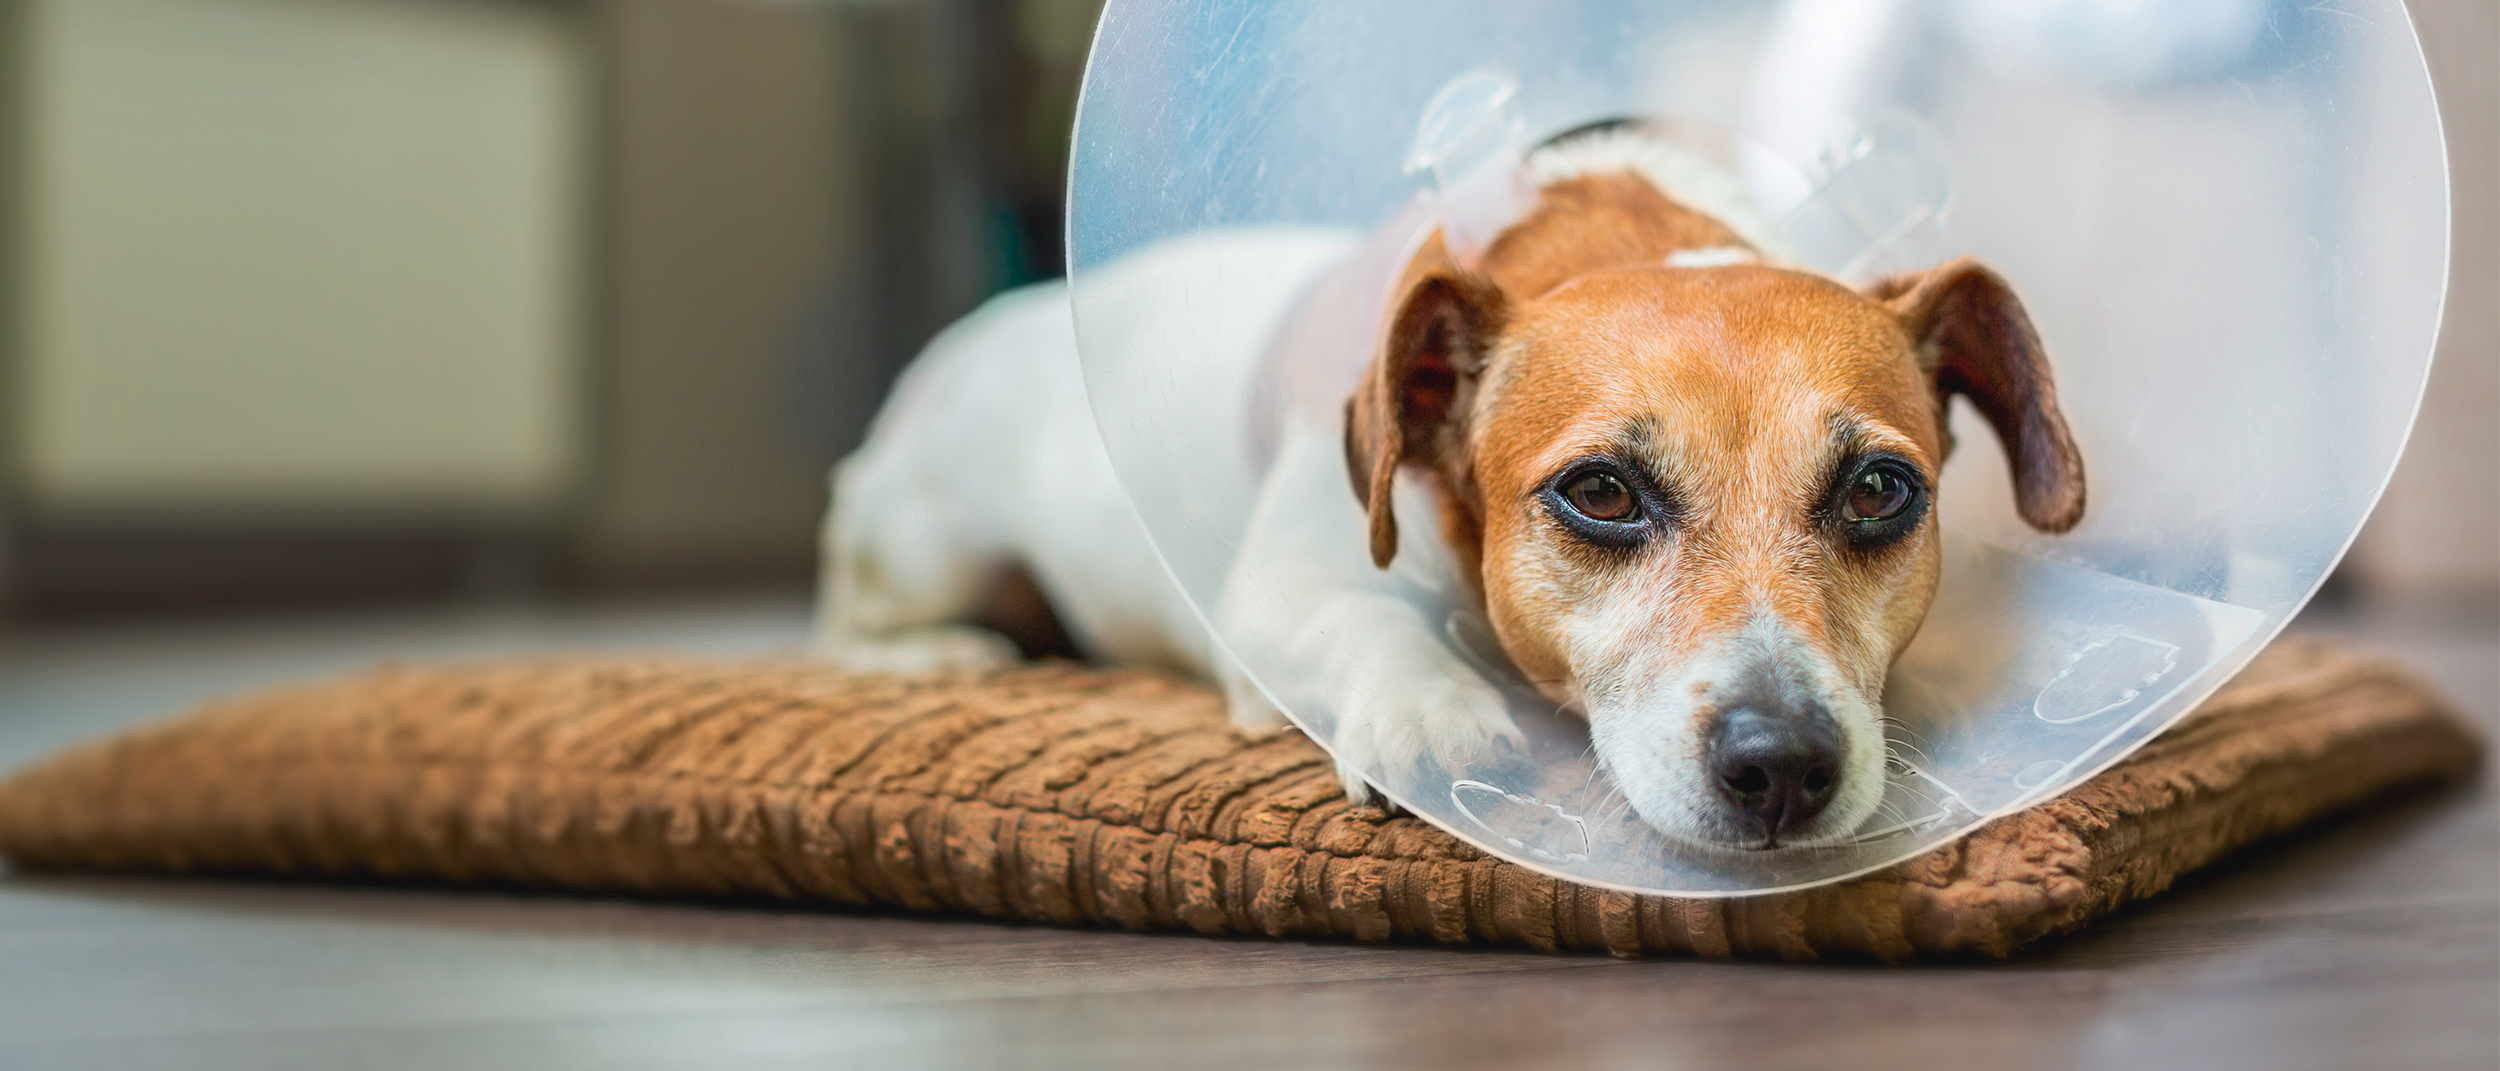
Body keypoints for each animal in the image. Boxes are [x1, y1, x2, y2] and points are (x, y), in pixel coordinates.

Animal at [810, 121, 2080, 850]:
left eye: (1877, 491)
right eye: (1601, 493)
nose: (1780, 769)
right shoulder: (1271, 601)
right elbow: (1365, 622)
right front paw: (1429, 710)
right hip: (926, 540)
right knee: (846, 614)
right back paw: (940, 654)